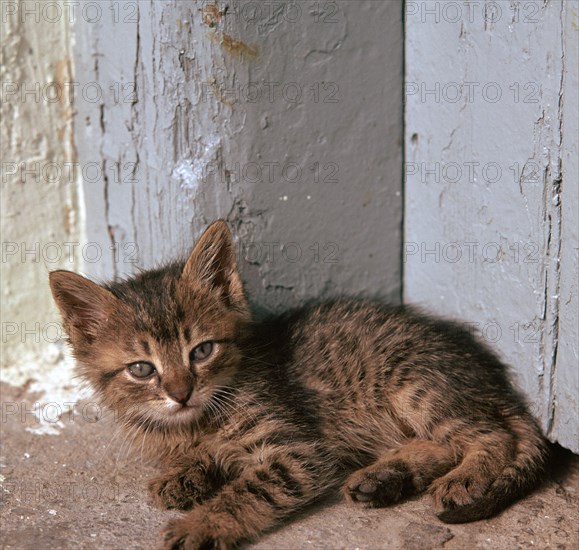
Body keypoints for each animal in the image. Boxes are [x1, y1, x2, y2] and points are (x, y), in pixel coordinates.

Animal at [48, 221, 548, 550]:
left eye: (202, 351)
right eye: (141, 369)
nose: (181, 392)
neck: (201, 418)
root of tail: (487, 373)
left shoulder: (298, 452)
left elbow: (251, 490)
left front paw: (200, 525)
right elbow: (207, 456)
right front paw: (187, 473)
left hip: (415, 383)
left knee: (490, 435)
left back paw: (464, 477)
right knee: (443, 442)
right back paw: (385, 477)